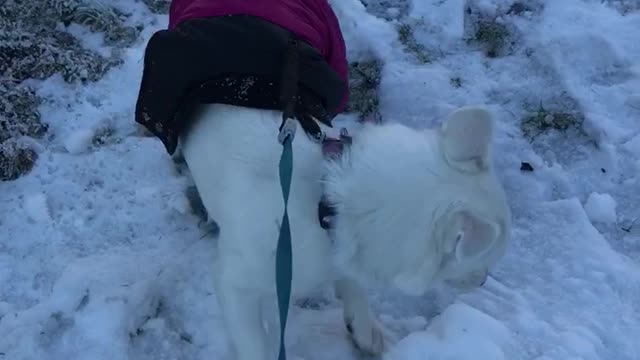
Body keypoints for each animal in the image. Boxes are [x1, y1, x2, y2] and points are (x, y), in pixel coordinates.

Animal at [179, 104, 510, 360]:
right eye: (484, 259)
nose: (483, 281)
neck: (324, 202)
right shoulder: (235, 284)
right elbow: (255, 345)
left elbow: (353, 282)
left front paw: (364, 327)